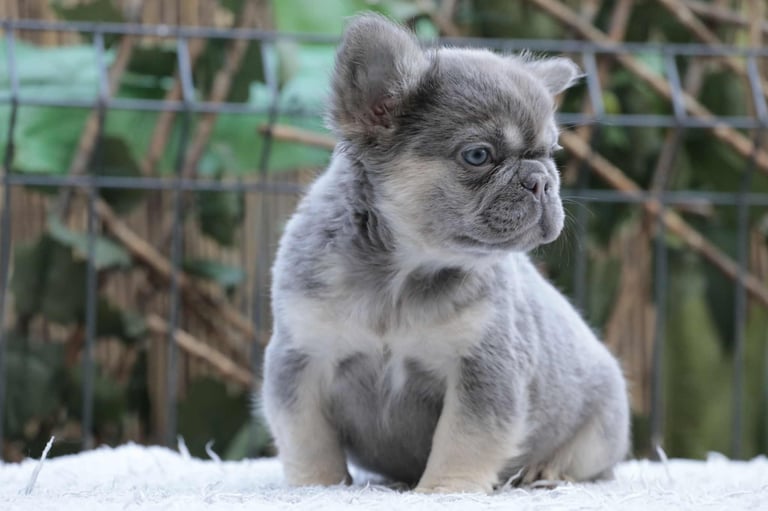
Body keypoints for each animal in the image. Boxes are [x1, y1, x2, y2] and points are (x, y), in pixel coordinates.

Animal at [261, 13, 630, 494]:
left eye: (551, 154)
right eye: (478, 156)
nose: (541, 180)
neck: (403, 272)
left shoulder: (482, 372)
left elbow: (463, 440)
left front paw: (445, 490)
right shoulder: (300, 361)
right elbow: (308, 440)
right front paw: (317, 487)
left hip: (600, 427)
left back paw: (547, 472)